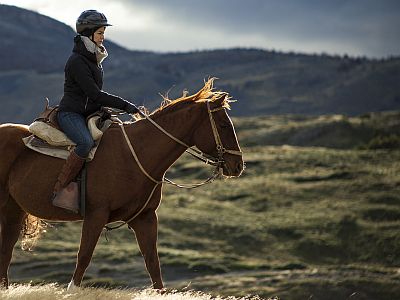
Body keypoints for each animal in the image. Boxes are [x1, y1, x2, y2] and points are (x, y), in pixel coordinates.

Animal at [0, 80, 244, 290]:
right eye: (224, 125)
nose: (238, 165)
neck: (136, 154)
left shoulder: (145, 218)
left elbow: (153, 265)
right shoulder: (96, 215)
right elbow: (84, 257)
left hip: (14, 209)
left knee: (6, 250)